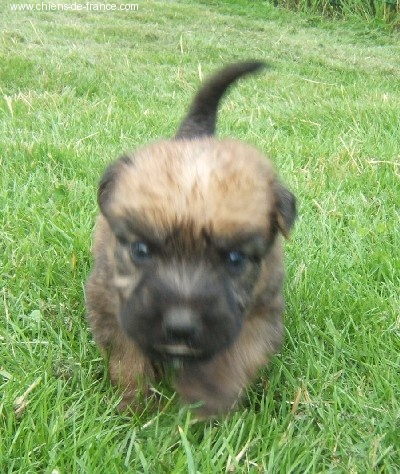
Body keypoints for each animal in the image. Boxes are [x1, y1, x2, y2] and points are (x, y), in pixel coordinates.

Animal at [85, 61, 296, 417]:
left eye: (235, 259)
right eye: (140, 249)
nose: (180, 327)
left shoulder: (261, 311)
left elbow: (239, 353)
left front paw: (209, 391)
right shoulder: (110, 302)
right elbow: (128, 355)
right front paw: (137, 404)